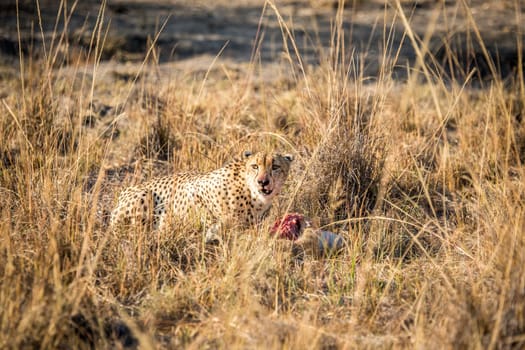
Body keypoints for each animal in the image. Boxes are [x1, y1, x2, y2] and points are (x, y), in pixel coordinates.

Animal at [109, 150, 294, 241]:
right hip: (144, 195)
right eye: (255, 166)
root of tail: (125, 190)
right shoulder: (193, 191)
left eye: (275, 167)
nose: (262, 182)